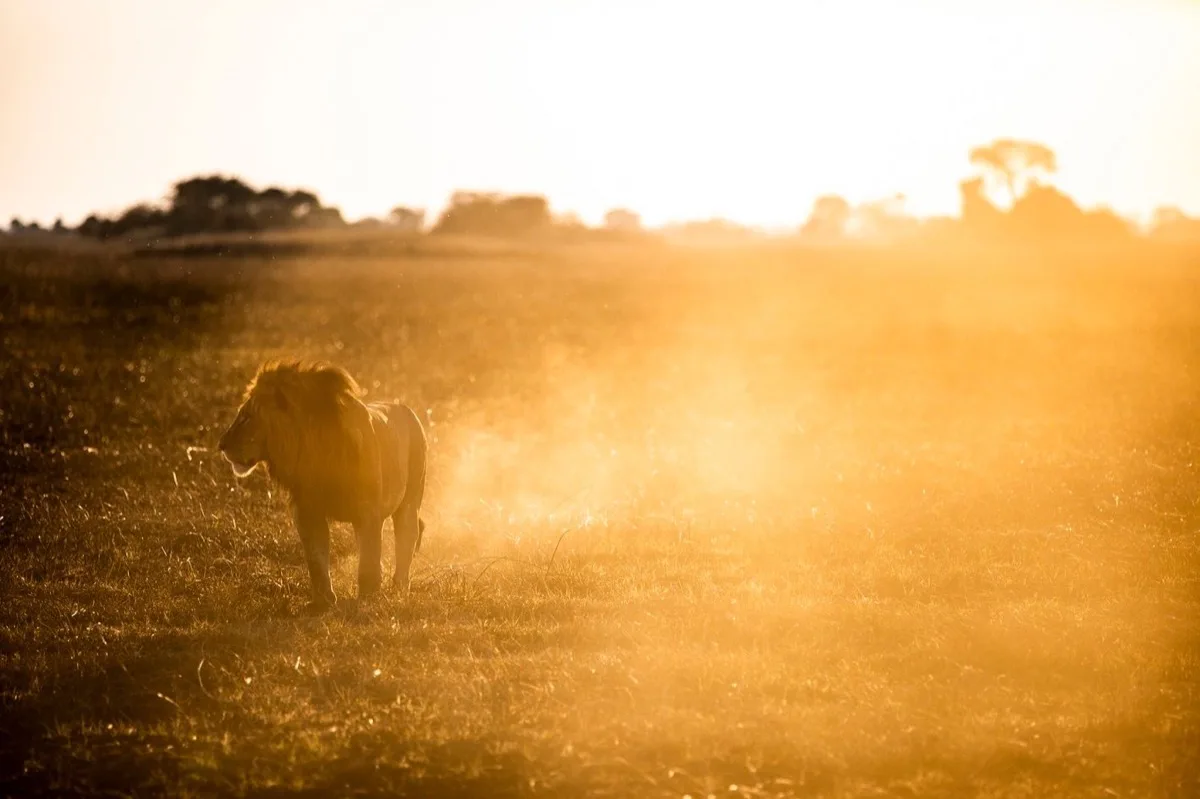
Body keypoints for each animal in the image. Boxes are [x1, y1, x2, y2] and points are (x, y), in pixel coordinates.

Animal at [217, 359, 427, 613]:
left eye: (247, 416)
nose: (221, 444)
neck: (311, 450)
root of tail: (406, 409)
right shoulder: (307, 511)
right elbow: (316, 558)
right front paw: (322, 602)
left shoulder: (368, 510)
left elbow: (369, 558)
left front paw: (368, 599)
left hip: (409, 501)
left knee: (406, 538)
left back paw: (399, 589)